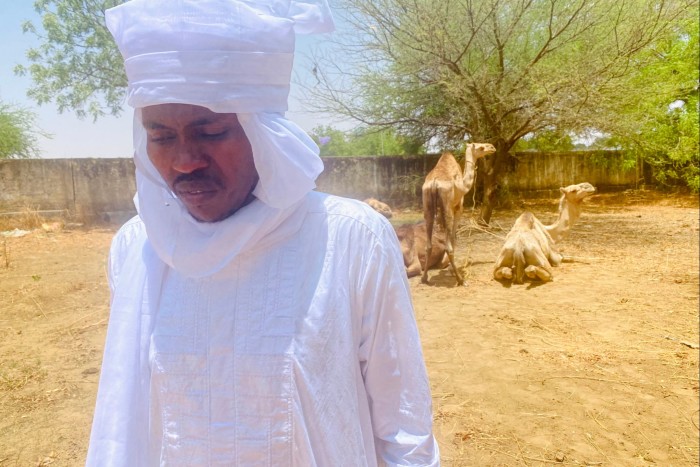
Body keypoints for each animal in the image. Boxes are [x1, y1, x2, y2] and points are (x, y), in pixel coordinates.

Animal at [422, 144, 498, 286]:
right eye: (480, 147)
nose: (492, 147)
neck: (464, 184)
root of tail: (434, 183)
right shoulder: (458, 207)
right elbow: (454, 238)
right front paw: (451, 271)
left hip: (427, 205)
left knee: (428, 245)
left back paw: (424, 278)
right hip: (447, 207)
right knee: (448, 246)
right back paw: (461, 280)